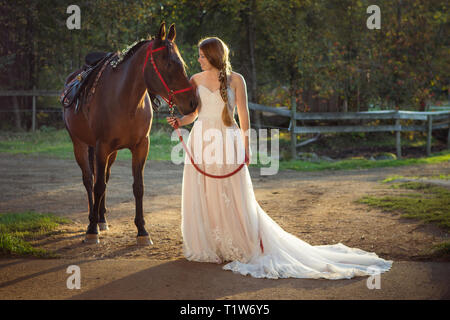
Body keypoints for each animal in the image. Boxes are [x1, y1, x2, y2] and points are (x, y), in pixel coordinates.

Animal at [64, 21, 198, 245]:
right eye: (169, 65)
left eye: (182, 64)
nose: (193, 103)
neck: (125, 101)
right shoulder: (101, 146)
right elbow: (97, 186)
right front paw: (91, 230)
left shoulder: (141, 146)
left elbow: (138, 187)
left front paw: (142, 230)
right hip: (80, 144)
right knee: (89, 180)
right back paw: (93, 220)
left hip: (110, 152)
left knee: (104, 177)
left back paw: (101, 219)